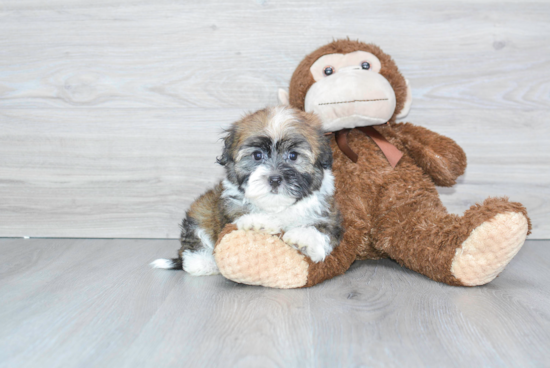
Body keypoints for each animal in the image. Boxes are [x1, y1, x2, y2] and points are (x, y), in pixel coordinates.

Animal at [151, 105, 340, 274]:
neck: (277, 207)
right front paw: (257, 222)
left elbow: (324, 228)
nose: (275, 179)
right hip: (200, 211)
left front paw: (305, 239)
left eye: (293, 155)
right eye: (257, 155)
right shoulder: (229, 205)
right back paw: (203, 262)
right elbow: (240, 213)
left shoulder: (327, 211)